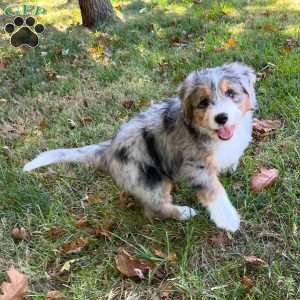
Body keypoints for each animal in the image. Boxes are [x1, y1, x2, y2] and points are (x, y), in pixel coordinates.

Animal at [24, 62, 258, 232]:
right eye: (203, 102)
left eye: (231, 93)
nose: (221, 118)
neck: (206, 131)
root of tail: (108, 149)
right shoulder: (196, 166)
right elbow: (214, 191)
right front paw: (228, 220)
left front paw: (229, 167)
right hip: (151, 180)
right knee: (154, 209)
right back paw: (183, 213)